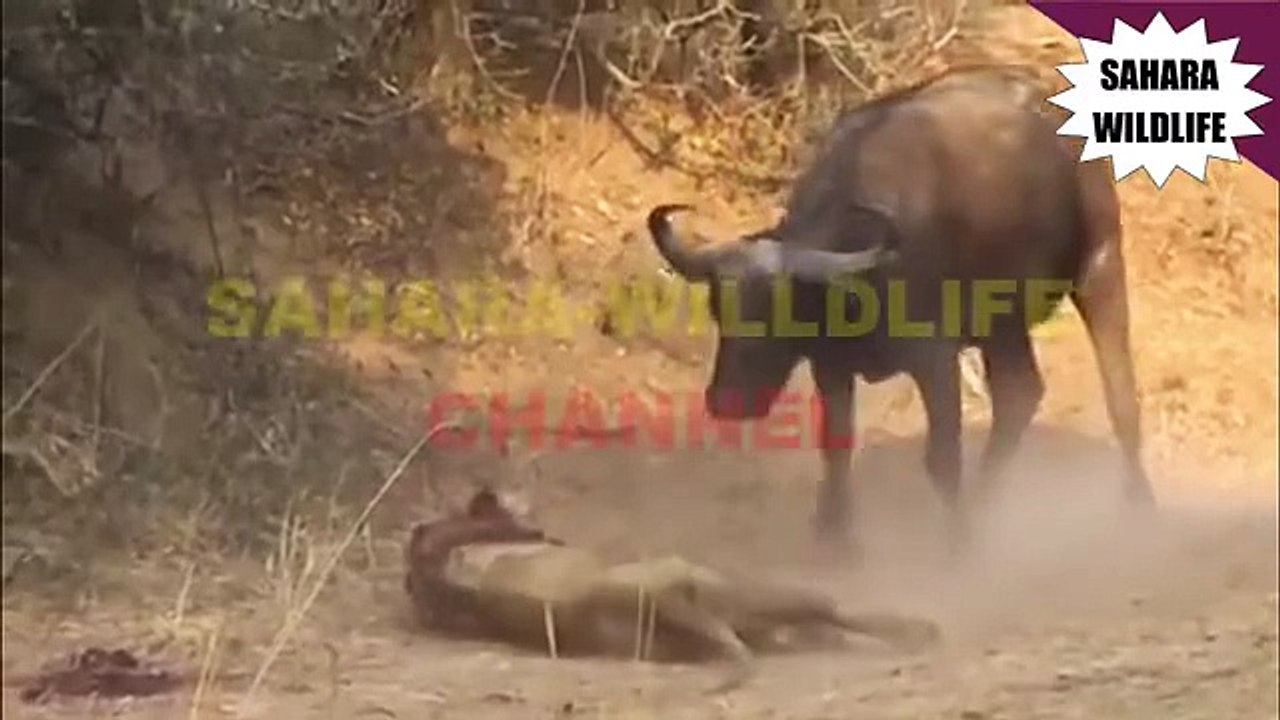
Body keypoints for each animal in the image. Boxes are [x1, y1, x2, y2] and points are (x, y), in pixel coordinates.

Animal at [645, 66, 1155, 554]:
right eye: (719, 307)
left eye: (780, 313)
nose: (727, 401)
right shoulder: (831, 366)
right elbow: (837, 443)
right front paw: (834, 532)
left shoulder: (935, 360)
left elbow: (942, 457)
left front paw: (957, 542)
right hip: (1003, 323)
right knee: (1019, 394)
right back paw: (987, 501)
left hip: (1100, 265)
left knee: (1119, 392)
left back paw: (1137, 501)